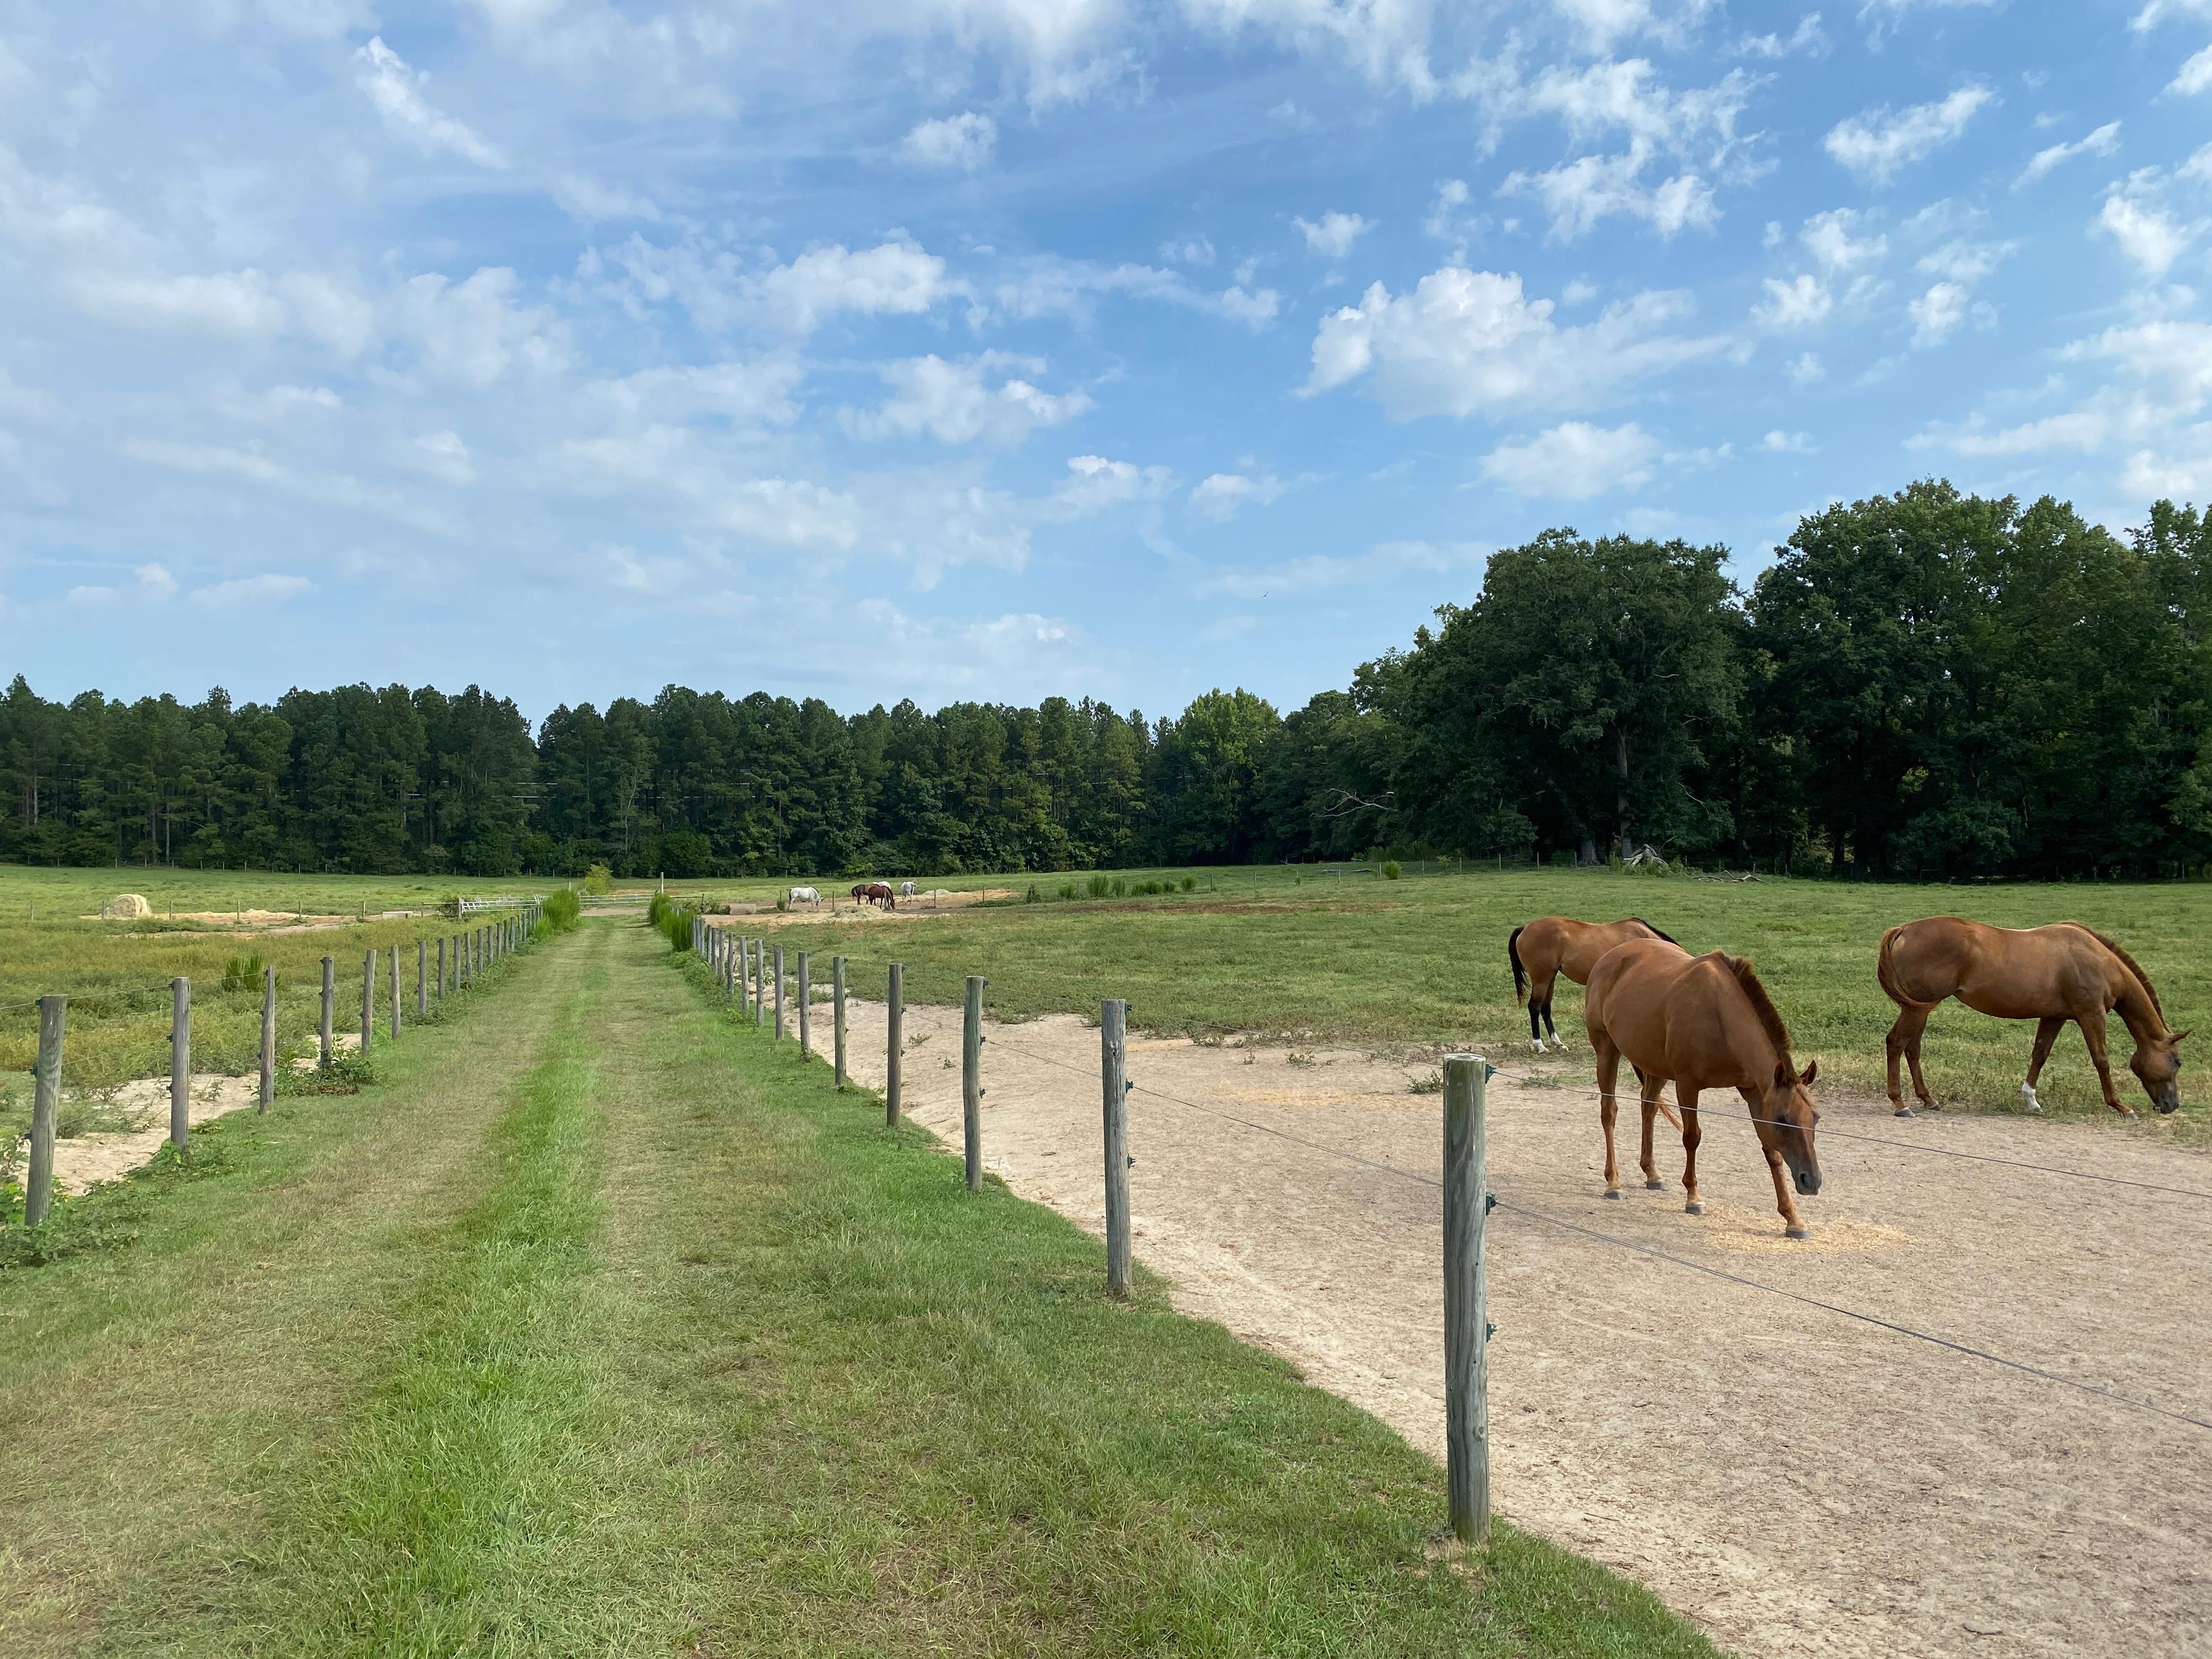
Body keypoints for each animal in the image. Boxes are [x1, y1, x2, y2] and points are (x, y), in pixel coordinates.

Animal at [1508, 915, 1681, 1051]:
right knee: (1534, 1007)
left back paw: (1557, 1042)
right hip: (1541, 979)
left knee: (1545, 1008)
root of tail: (1526, 928)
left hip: (1550, 978)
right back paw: (1540, 1046)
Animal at [1585, 940, 1823, 1239]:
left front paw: (1793, 1218)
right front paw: (1693, 1198)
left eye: (1815, 1118)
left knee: (1648, 1107)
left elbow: (1772, 1153)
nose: (1811, 1180)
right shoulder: (1688, 1085)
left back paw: (1652, 1174)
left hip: (1655, 1066)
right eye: (1783, 1119)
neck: (1721, 1016)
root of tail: (1609, 957)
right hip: (1607, 1051)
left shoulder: (1755, 1092)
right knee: (1609, 1113)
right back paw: (1613, 1182)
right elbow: (1692, 1138)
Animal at [1878, 918, 2187, 1119]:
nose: (2172, 1105)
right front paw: (2121, 1106)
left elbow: (2040, 1054)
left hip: (1922, 1008)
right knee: (1896, 1043)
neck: (2098, 960)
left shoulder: (2054, 1017)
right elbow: (2102, 1060)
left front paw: (2031, 1101)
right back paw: (1900, 1104)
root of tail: (1903, 930)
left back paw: (1928, 1099)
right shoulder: (2092, 1015)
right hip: (1917, 1009)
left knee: (1912, 1048)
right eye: (2177, 1061)